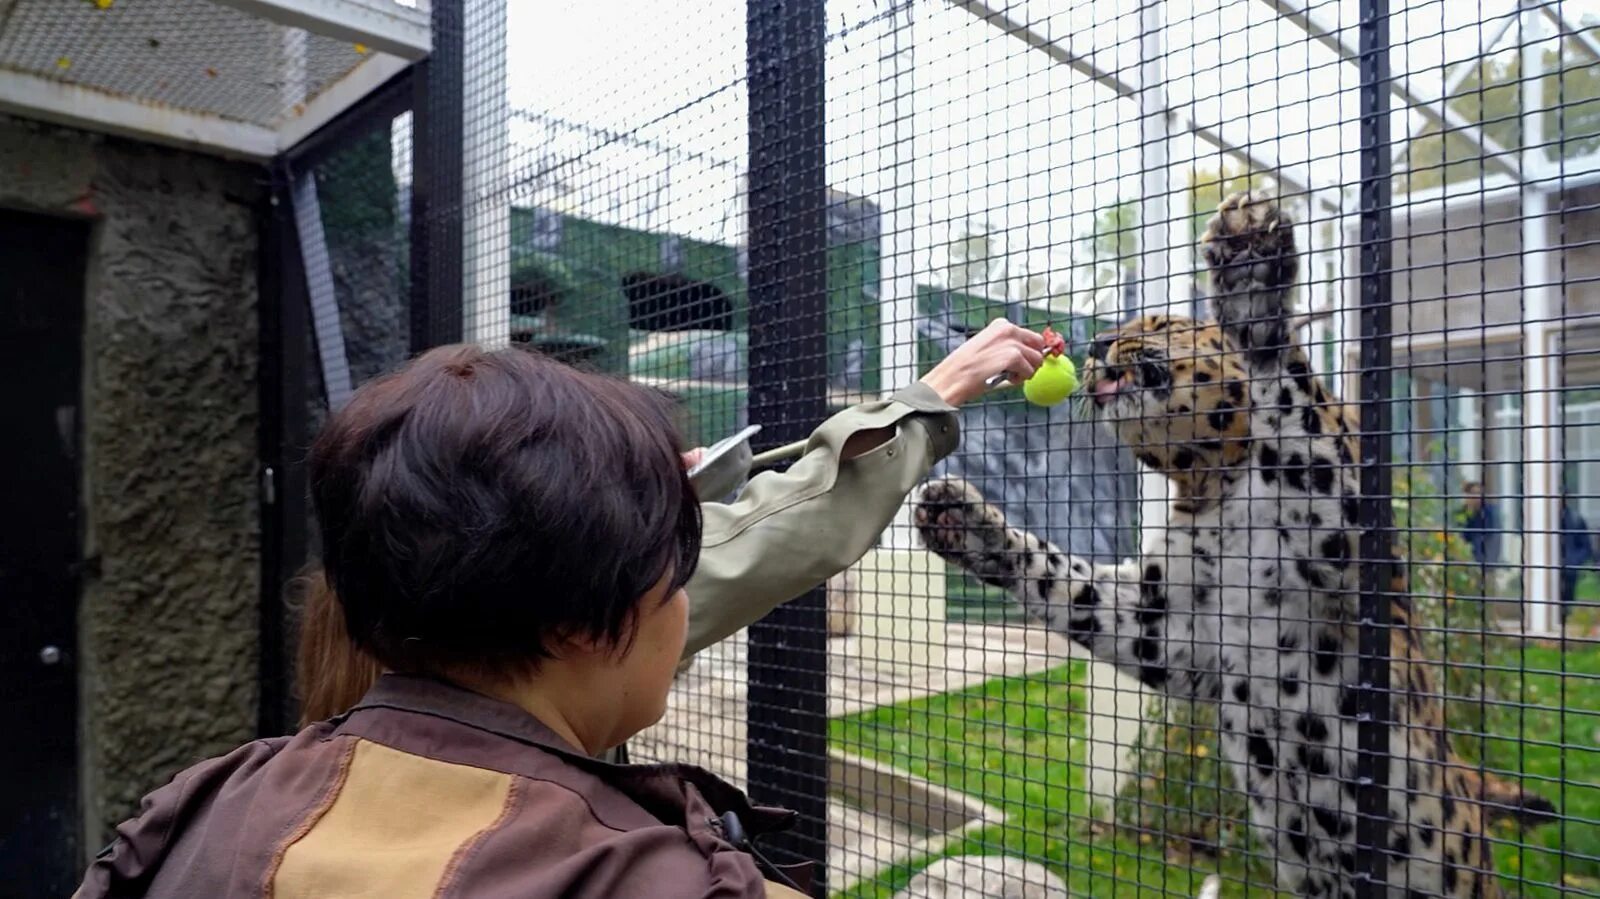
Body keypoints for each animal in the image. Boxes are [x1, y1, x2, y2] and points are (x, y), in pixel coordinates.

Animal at [921, 192, 1555, 889]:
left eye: (1163, 323)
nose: (1097, 342)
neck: (1215, 489)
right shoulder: (1169, 626)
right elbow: (1064, 581)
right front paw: (961, 519)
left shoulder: (1340, 523)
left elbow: (1286, 387)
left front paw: (1250, 268)